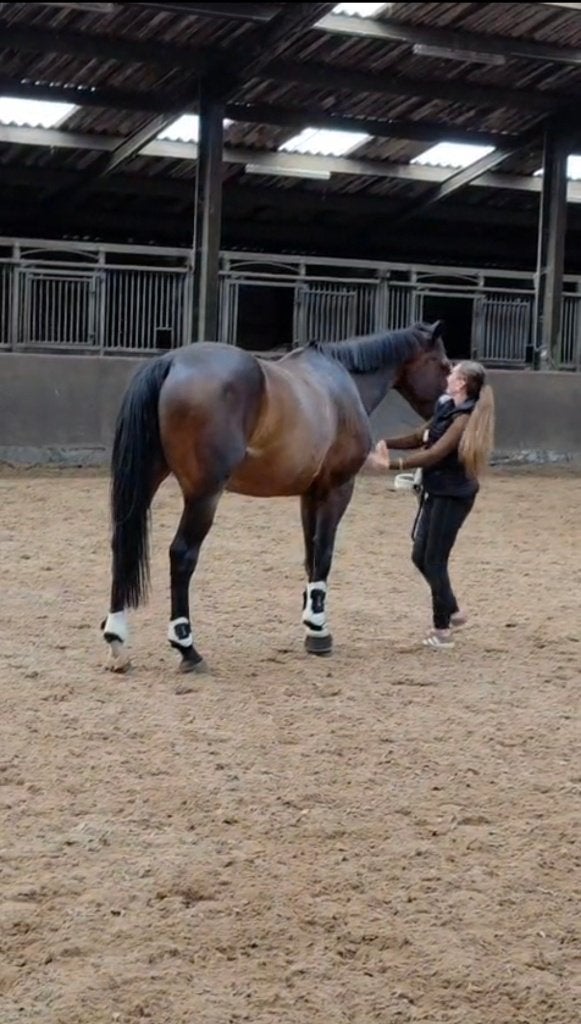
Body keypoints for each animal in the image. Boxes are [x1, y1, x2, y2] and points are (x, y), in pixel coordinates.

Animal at [101, 321, 449, 674]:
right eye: (445, 366)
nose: (445, 413)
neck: (342, 384)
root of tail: (171, 362)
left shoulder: (310, 494)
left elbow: (311, 555)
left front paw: (315, 631)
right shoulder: (337, 488)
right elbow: (324, 553)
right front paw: (318, 626)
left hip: (148, 479)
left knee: (121, 543)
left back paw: (117, 640)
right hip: (204, 495)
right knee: (182, 555)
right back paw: (187, 648)